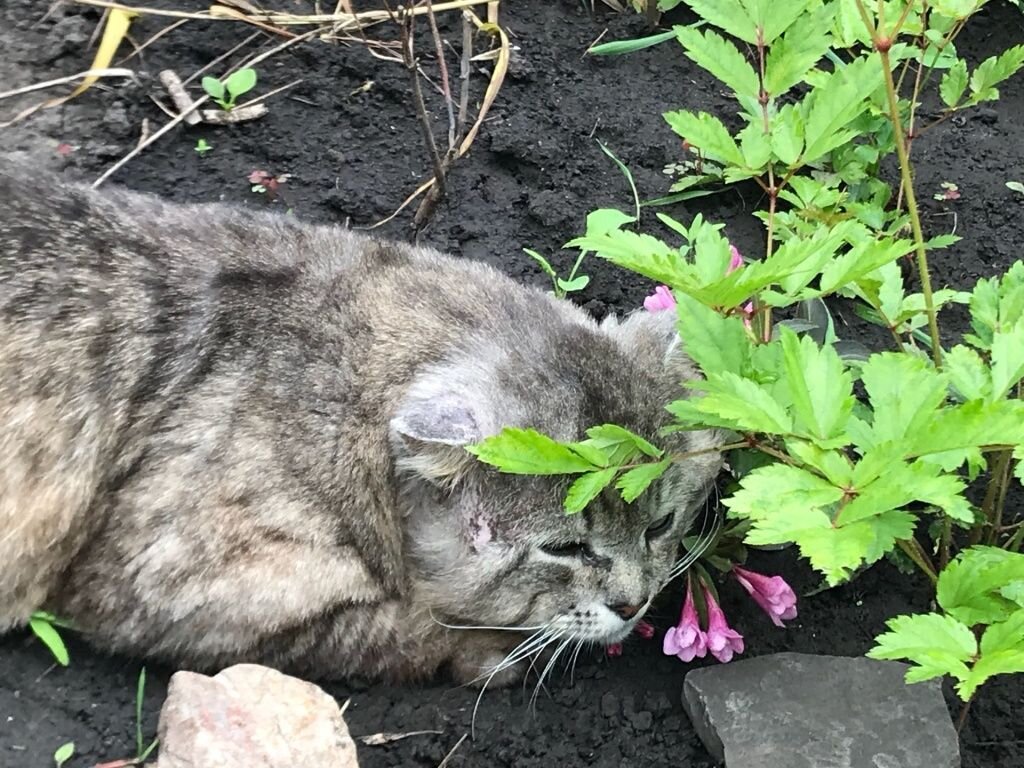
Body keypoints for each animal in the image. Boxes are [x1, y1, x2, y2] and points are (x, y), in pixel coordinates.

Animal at [0, 162, 720, 684]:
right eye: (564, 549)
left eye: (660, 526)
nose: (635, 604)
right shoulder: (170, 586)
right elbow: (400, 629)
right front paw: (491, 649)